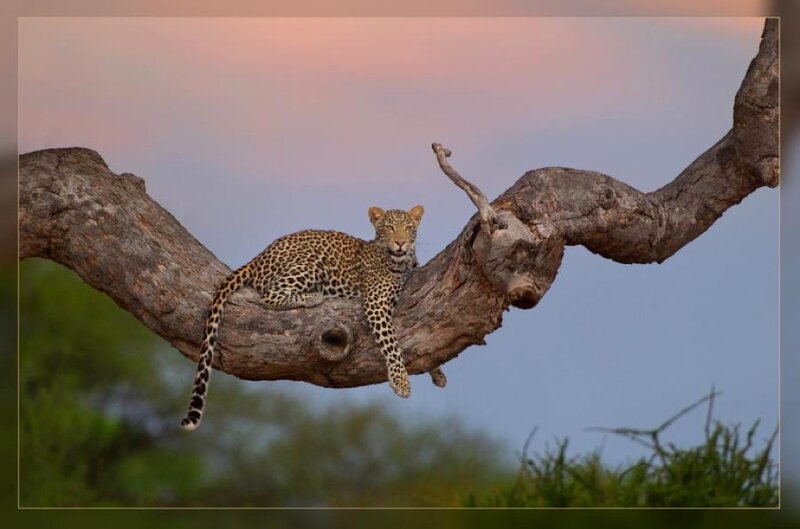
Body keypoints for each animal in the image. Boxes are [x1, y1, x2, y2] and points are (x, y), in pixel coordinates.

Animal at [180, 205, 446, 431]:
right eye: (389, 227)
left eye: (409, 228)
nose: (400, 243)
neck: (401, 262)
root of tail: (259, 257)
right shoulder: (375, 303)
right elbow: (392, 345)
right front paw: (401, 382)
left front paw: (438, 373)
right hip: (310, 262)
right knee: (269, 295)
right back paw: (314, 296)